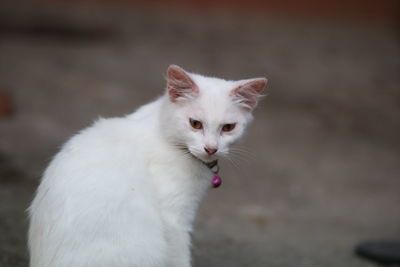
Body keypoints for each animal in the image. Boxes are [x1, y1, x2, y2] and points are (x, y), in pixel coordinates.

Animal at [28, 65, 266, 267]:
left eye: (228, 128)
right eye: (195, 124)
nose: (211, 148)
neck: (164, 133)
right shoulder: (174, 220)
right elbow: (180, 259)